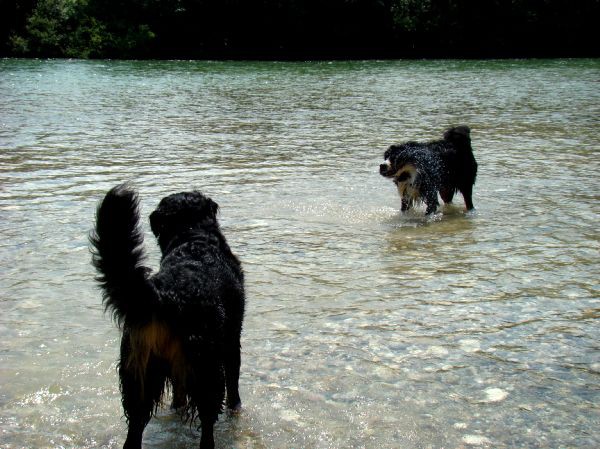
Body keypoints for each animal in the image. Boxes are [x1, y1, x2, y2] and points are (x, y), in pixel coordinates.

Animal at [90, 183, 245, 448]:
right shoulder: (232, 339)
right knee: (207, 422)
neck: (193, 239)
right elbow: (234, 382)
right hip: (207, 367)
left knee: (135, 428)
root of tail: (166, 293)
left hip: (138, 374)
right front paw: (236, 408)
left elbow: (178, 398)